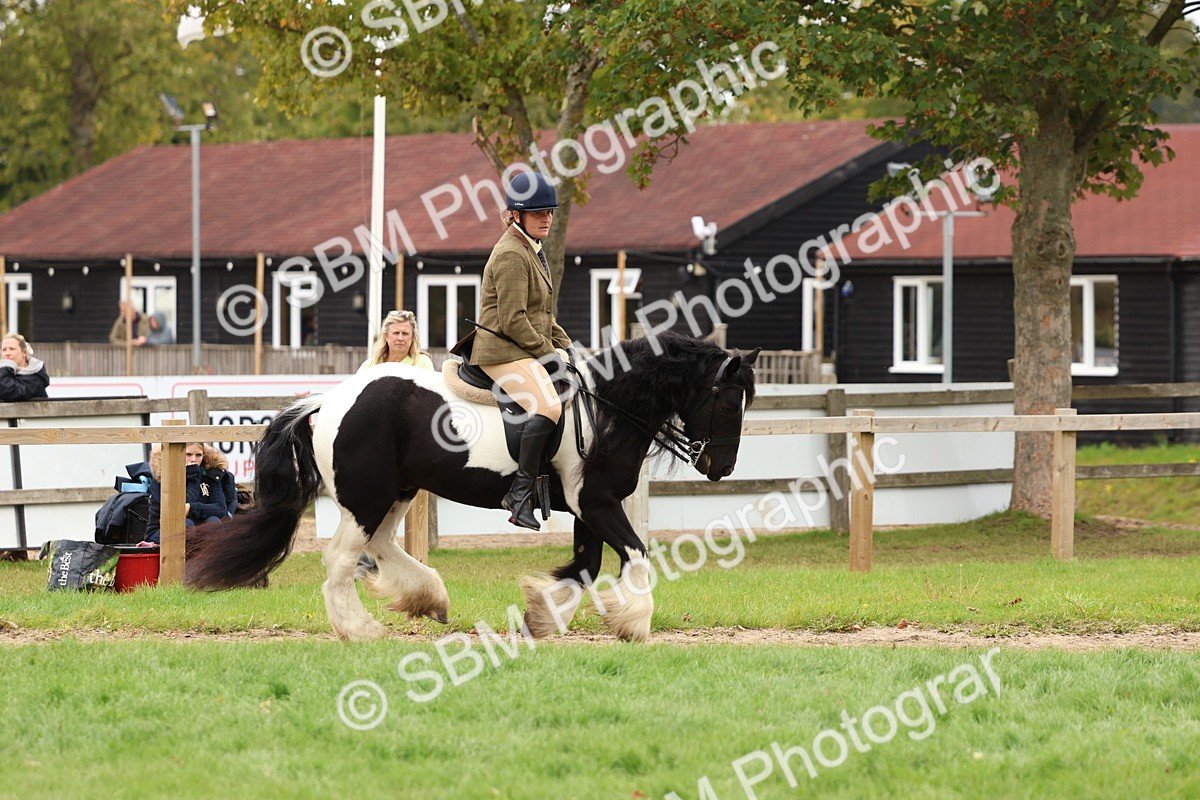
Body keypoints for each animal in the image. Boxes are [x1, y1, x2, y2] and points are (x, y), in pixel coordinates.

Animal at [186, 331, 759, 642]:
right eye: (727, 401)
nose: (721, 467)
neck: (607, 409)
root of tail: (327, 401)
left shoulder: (586, 508)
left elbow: (585, 566)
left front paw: (542, 617)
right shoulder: (596, 503)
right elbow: (635, 554)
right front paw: (634, 622)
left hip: (396, 492)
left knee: (380, 547)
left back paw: (428, 597)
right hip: (367, 497)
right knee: (342, 560)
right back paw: (362, 629)